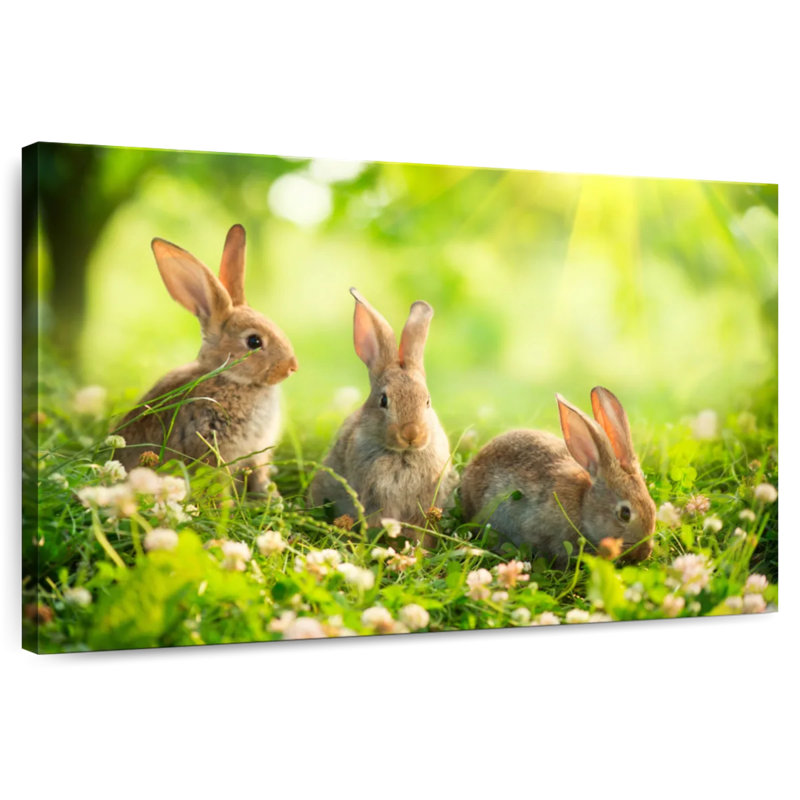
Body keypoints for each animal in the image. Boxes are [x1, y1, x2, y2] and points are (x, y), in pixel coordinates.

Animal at [117, 224, 298, 494]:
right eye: (254, 342)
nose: (292, 367)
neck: (230, 378)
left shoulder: (256, 455)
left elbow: (258, 475)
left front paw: (270, 496)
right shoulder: (209, 443)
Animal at [309, 288, 458, 544]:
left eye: (427, 401)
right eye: (384, 400)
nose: (411, 433)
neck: (403, 454)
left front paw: (420, 548)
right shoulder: (373, 497)